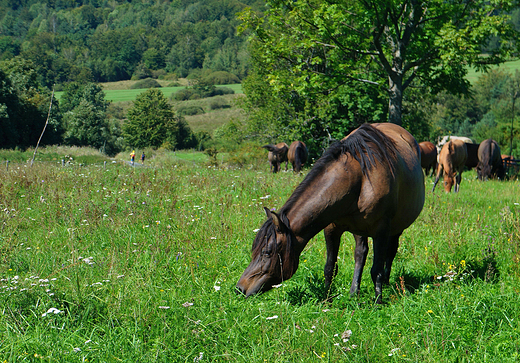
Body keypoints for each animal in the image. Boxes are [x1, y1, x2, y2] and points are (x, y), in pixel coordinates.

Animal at [238, 123, 424, 304]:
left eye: (266, 252)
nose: (240, 288)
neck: (360, 177)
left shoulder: (381, 229)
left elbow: (376, 269)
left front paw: (378, 302)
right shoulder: (332, 228)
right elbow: (330, 267)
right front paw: (326, 300)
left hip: (395, 228)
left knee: (390, 252)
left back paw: (384, 283)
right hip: (360, 229)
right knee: (360, 253)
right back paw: (354, 292)